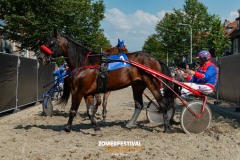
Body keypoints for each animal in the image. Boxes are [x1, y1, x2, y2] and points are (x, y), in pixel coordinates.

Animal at [39, 29, 178, 134]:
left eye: (52, 42)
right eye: (45, 41)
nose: (40, 57)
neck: (86, 63)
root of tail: (155, 59)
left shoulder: (78, 92)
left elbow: (73, 110)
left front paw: (67, 128)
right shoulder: (88, 93)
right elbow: (90, 112)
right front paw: (96, 128)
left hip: (152, 83)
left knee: (162, 103)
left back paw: (166, 127)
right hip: (138, 85)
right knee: (139, 105)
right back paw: (130, 124)